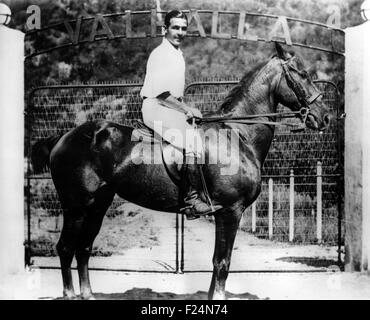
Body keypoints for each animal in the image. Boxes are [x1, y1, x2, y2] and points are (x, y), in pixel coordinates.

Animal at [30, 43, 328, 300]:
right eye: (302, 74)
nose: (323, 116)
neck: (238, 134)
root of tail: (63, 138)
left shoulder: (226, 213)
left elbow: (217, 262)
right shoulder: (230, 212)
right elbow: (222, 262)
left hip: (98, 205)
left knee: (84, 248)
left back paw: (88, 294)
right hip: (76, 206)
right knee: (65, 247)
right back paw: (70, 294)